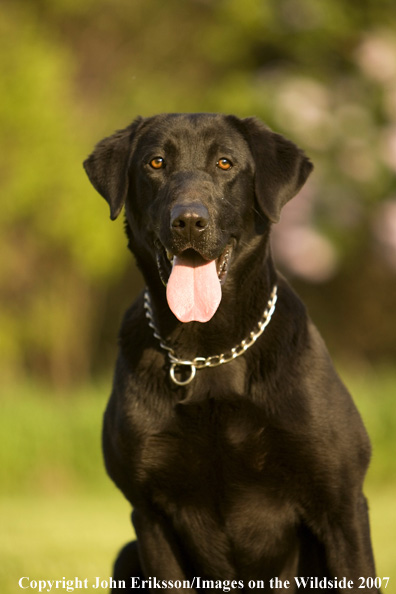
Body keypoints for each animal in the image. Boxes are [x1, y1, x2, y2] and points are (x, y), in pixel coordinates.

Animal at [83, 113, 378, 588]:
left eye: (225, 162)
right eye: (155, 162)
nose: (188, 221)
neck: (209, 351)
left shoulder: (341, 504)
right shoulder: (149, 516)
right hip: (126, 555)